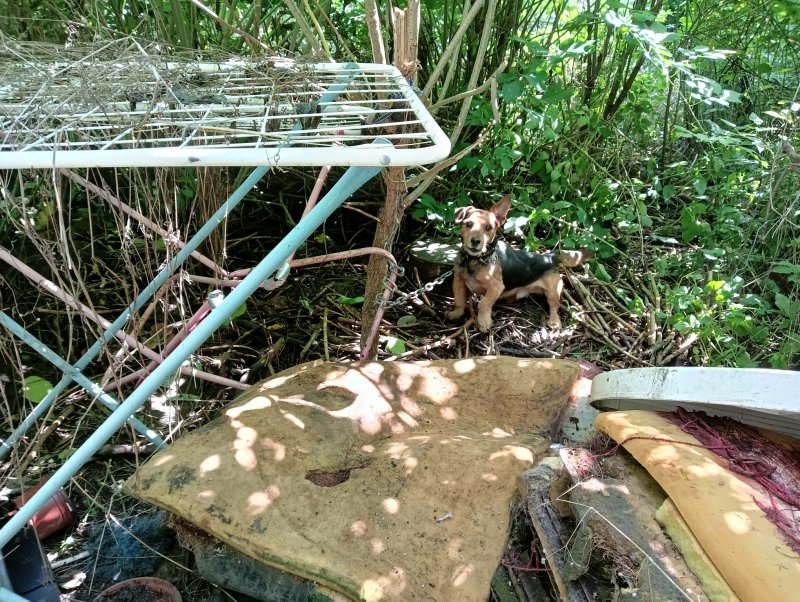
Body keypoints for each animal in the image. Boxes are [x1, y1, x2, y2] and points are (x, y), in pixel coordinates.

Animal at [446, 195, 592, 330]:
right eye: (469, 224)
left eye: (488, 227)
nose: (476, 241)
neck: (473, 260)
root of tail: (550, 257)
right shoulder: (458, 282)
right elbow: (459, 300)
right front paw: (456, 314)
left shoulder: (496, 287)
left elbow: (484, 303)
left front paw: (484, 322)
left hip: (553, 292)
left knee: (554, 308)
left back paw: (554, 321)